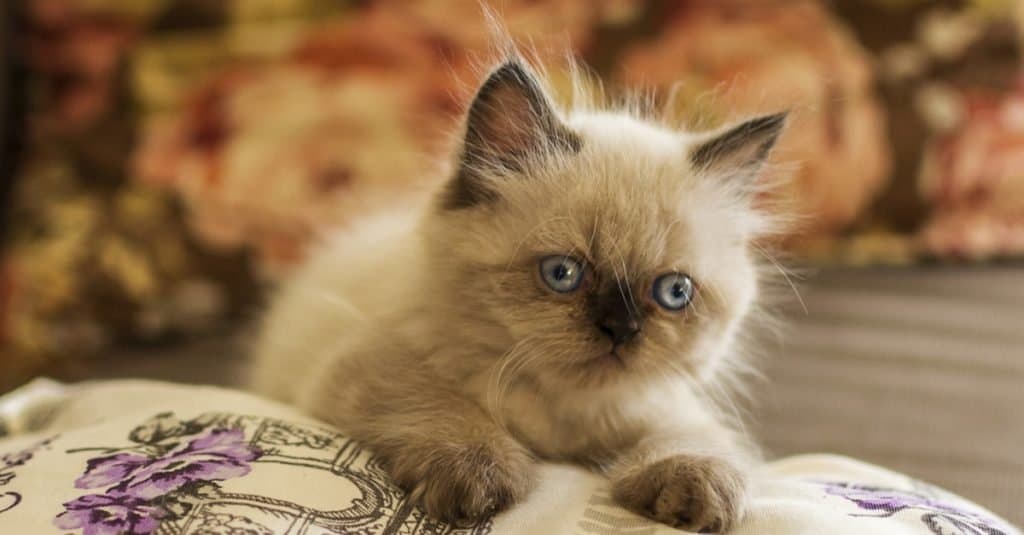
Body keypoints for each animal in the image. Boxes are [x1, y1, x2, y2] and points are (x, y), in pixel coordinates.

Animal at [251, 54, 786, 528]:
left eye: (674, 292)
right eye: (562, 274)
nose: (622, 329)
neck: (561, 419)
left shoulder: (663, 408)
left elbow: (692, 438)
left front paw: (694, 490)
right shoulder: (370, 360)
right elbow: (444, 404)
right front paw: (479, 477)